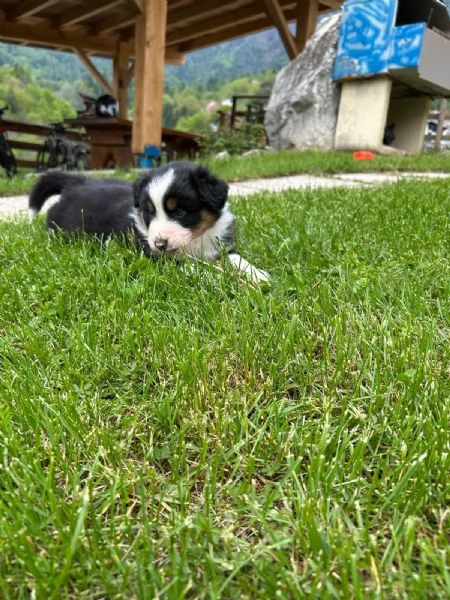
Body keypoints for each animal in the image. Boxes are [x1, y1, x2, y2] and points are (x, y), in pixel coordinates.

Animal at [28, 162, 269, 283]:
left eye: (179, 211)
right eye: (149, 213)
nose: (160, 243)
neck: (195, 240)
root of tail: (76, 183)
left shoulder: (220, 243)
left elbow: (237, 258)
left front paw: (258, 274)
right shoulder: (157, 257)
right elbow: (194, 266)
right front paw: (216, 277)